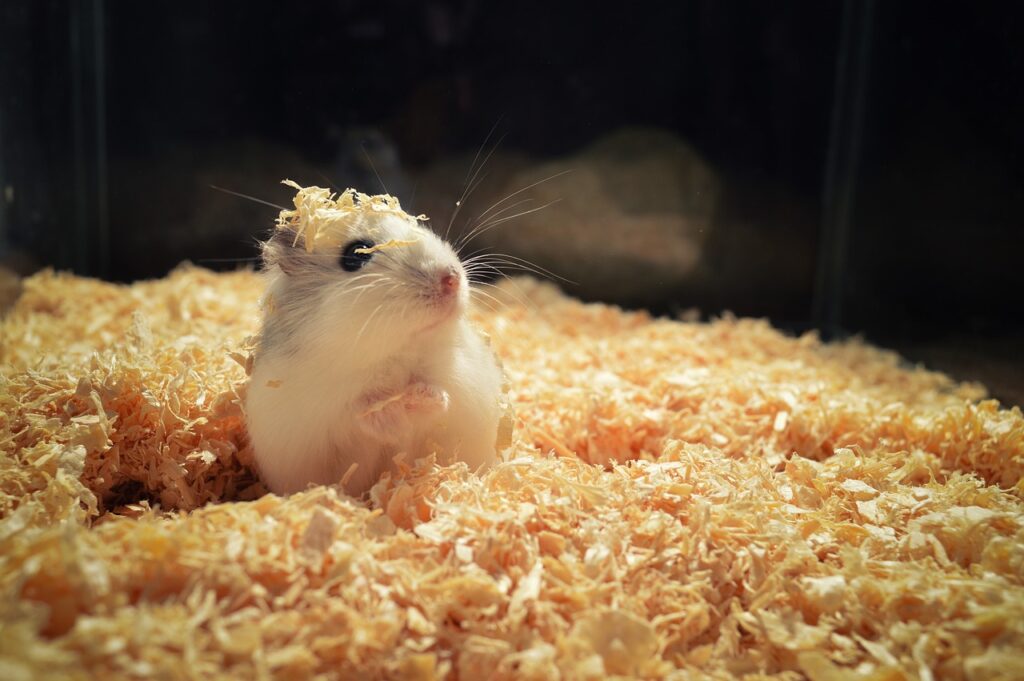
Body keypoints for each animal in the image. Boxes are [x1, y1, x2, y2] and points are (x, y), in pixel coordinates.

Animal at [245, 181, 505, 497]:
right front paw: (392, 413)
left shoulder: (460, 379)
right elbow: (360, 413)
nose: (452, 279)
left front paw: (422, 397)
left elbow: (440, 394)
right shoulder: (324, 410)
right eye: (356, 254)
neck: (392, 354)